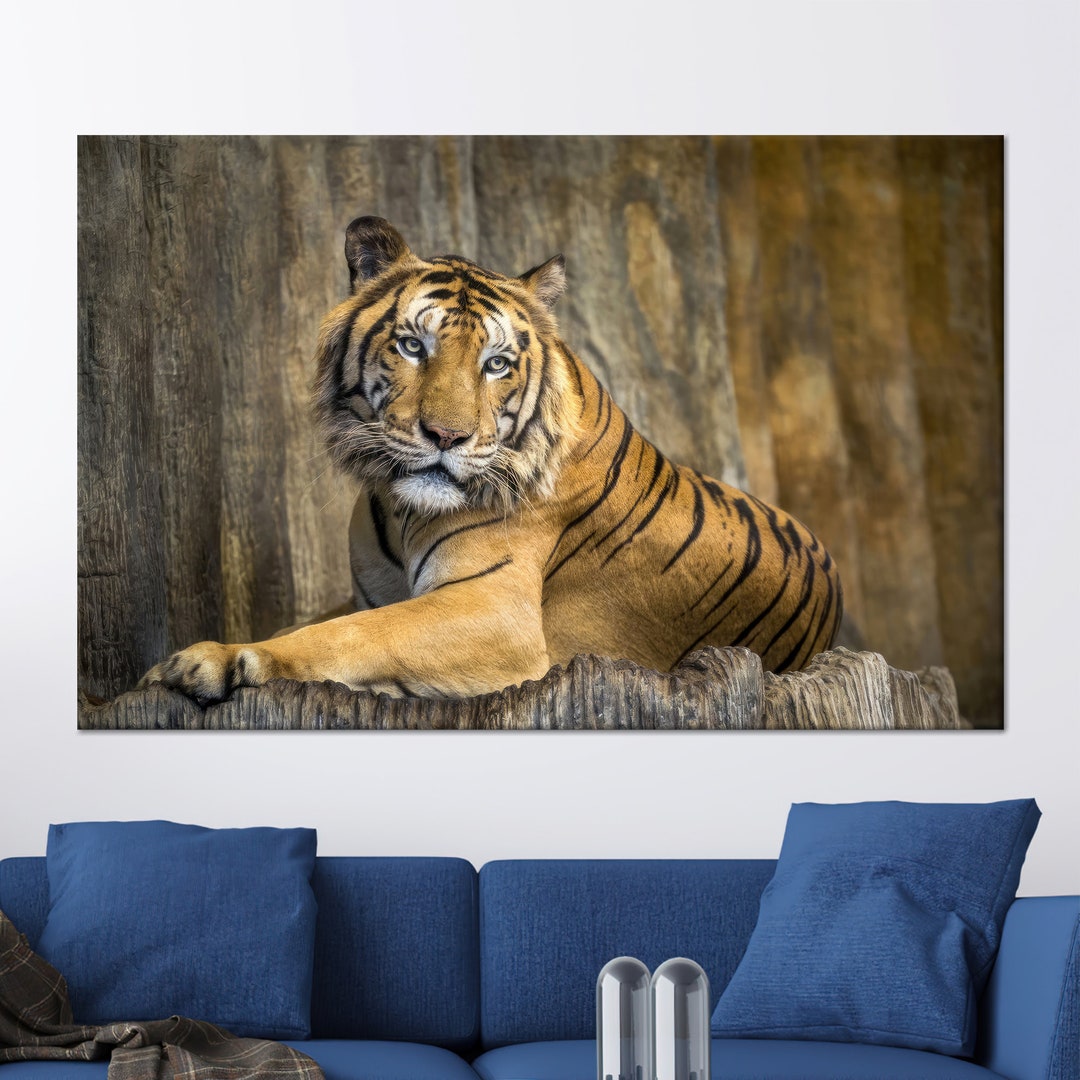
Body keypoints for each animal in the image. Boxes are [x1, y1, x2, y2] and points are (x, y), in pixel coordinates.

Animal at [139, 216, 843, 703]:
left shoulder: (492, 610)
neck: (400, 511)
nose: (445, 436)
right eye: (412, 346)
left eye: (497, 363)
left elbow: (352, 635)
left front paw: (217, 660)